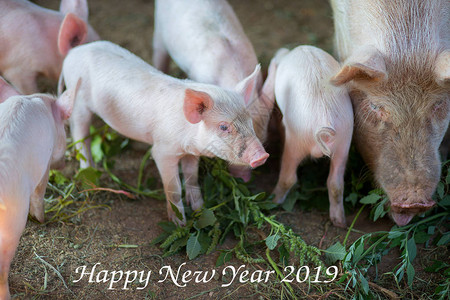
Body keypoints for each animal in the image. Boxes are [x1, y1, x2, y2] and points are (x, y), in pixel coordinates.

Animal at [0, 78, 78, 300]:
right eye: (65, 128)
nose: (64, 164)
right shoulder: (44, 163)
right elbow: (39, 193)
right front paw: (43, 220)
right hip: (12, 223)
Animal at [61, 41, 268, 225]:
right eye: (224, 127)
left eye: (249, 120)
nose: (263, 155)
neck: (188, 137)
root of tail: (74, 52)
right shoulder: (162, 151)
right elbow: (173, 187)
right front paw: (180, 224)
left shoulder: (191, 153)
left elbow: (192, 177)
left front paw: (200, 209)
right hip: (78, 101)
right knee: (79, 134)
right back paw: (88, 173)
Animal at [268, 46, 354, 227]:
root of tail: (324, 119)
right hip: (344, 141)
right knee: (336, 183)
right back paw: (340, 222)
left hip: (296, 139)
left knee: (289, 177)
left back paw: (273, 199)